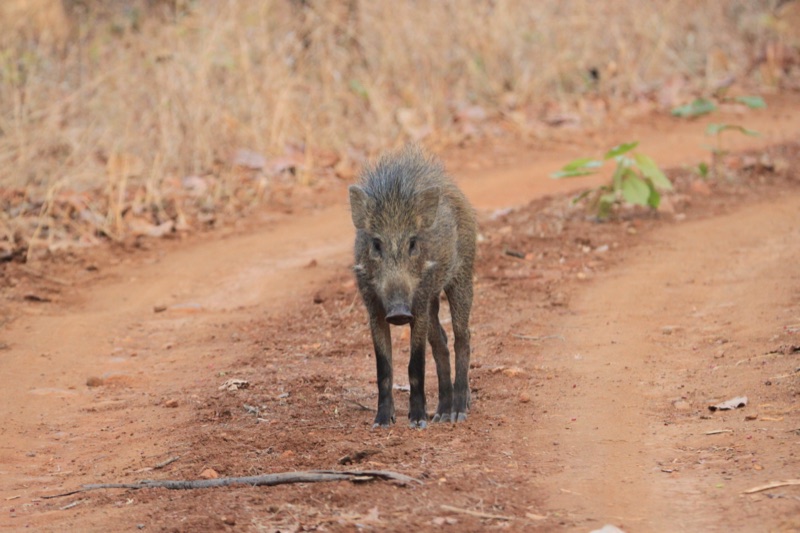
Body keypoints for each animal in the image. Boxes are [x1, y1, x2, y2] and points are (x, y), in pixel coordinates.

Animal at [348, 145, 477, 428]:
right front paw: (382, 422)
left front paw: (417, 421)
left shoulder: (418, 305)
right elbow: (383, 368)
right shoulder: (374, 309)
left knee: (463, 337)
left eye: (413, 243)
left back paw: (459, 413)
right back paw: (441, 414)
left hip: (463, 278)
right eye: (376, 244)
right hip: (433, 301)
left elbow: (415, 363)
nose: (398, 313)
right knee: (441, 342)